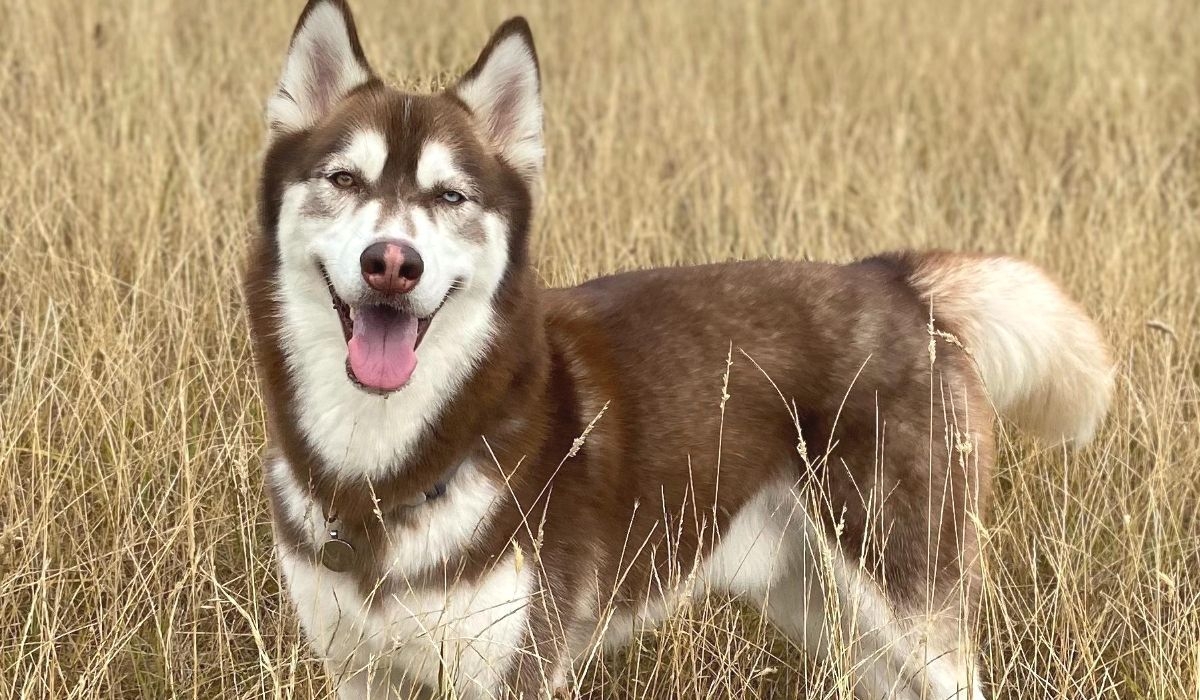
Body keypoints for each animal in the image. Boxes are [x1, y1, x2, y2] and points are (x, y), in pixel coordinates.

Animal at [246, 2, 1113, 696]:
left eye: (449, 195)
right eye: (345, 180)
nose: (392, 264)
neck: (382, 466)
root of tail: (897, 278)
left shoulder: (514, 668)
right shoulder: (358, 667)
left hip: (912, 603)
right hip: (823, 609)